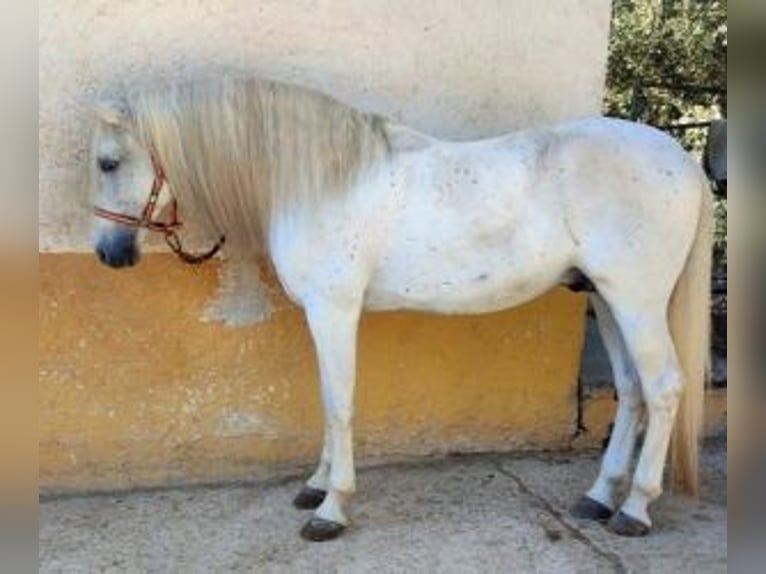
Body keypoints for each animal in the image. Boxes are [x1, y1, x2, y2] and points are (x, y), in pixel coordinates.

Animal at [90, 77, 712, 544]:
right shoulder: (325, 314)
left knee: (663, 388)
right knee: (631, 392)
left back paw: (634, 509)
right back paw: (599, 498)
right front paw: (315, 486)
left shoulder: (334, 310)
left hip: (637, 301)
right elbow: (327, 399)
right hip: (606, 299)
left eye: (108, 163)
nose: (108, 254)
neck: (318, 182)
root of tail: (681, 160)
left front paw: (331, 509)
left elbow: (339, 403)